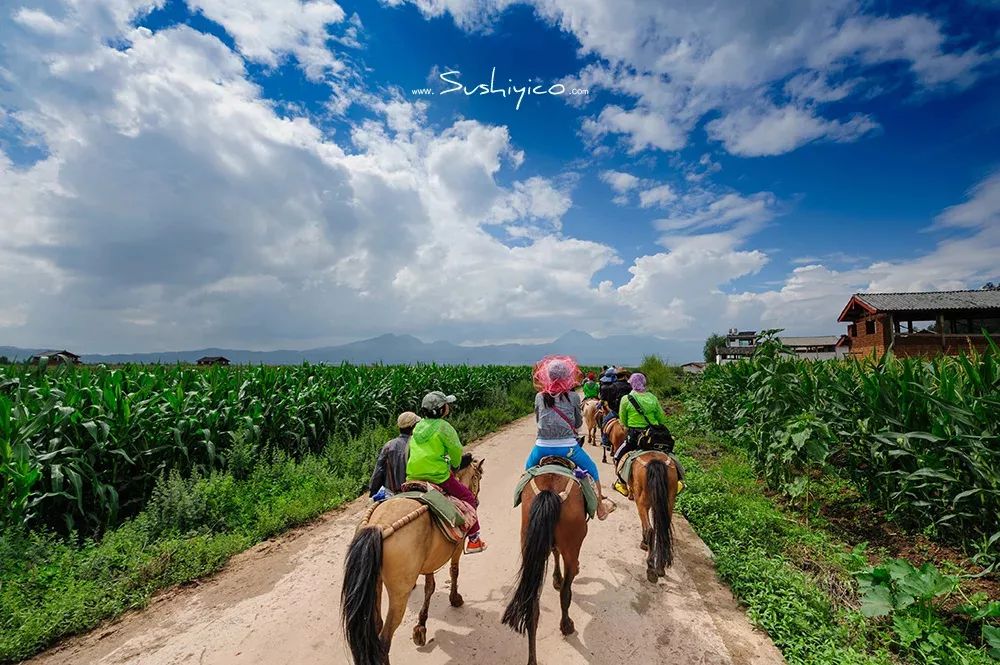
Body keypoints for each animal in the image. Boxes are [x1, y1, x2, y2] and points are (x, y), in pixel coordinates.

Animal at [342, 456, 486, 664]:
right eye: (477, 477)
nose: (476, 500)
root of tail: (378, 526)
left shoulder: (429, 560)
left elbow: (430, 587)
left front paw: (421, 627)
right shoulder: (458, 548)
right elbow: (454, 572)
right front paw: (455, 599)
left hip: (375, 583)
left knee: (376, 626)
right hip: (399, 594)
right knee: (384, 641)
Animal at [504, 466, 588, 664]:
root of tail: (549, 491)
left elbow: (555, 551)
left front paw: (556, 578)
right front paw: (559, 579)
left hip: (528, 543)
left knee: (532, 607)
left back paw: (532, 659)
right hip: (572, 544)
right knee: (566, 592)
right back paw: (566, 625)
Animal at [604, 430, 676, 580]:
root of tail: (656, 462)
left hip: (643, 501)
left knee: (650, 529)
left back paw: (650, 566)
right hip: (668, 501)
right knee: (662, 530)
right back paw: (660, 567)